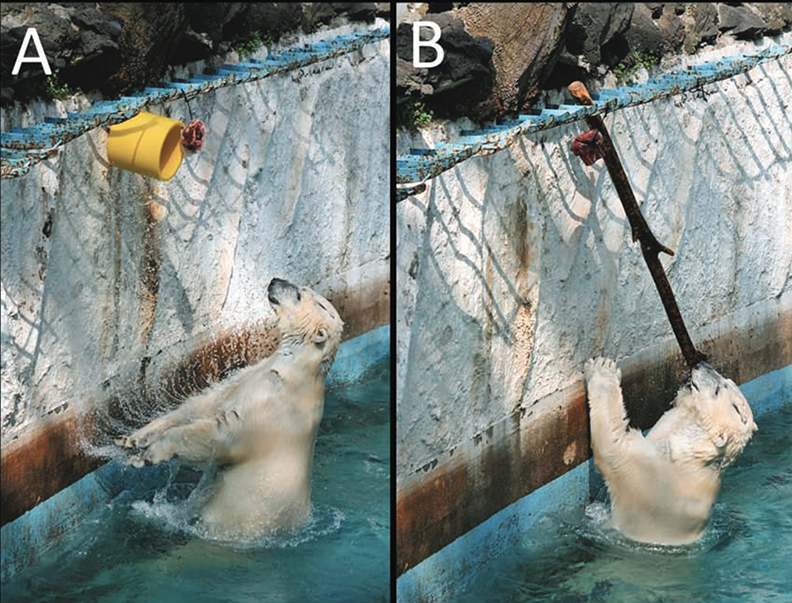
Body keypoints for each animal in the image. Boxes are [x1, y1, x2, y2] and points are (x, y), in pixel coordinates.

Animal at [117, 278, 344, 539]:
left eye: (300, 294)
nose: (275, 280)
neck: (296, 373)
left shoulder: (272, 406)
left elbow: (222, 433)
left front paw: (148, 455)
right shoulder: (253, 373)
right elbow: (206, 402)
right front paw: (135, 438)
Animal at [584, 357, 756, 545]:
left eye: (718, 390)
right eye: (727, 380)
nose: (701, 364)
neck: (694, 458)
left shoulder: (648, 473)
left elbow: (612, 444)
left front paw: (603, 368)